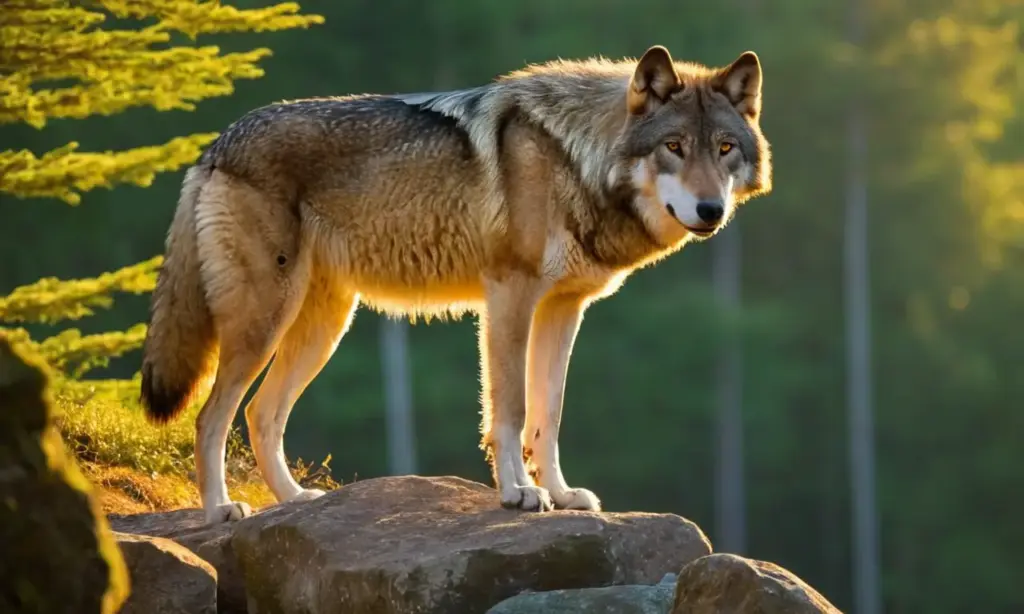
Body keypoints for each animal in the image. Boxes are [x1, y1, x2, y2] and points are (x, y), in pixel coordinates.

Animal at [139, 44, 772, 525]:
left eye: (723, 149)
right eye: (673, 147)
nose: (710, 210)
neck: (573, 156)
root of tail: (217, 143)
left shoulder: (564, 309)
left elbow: (548, 414)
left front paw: (561, 494)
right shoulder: (509, 297)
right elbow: (510, 410)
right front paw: (519, 494)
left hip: (322, 328)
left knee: (261, 414)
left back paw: (294, 502)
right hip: (264, 323)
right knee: (211, 417)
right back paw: (221, 511)